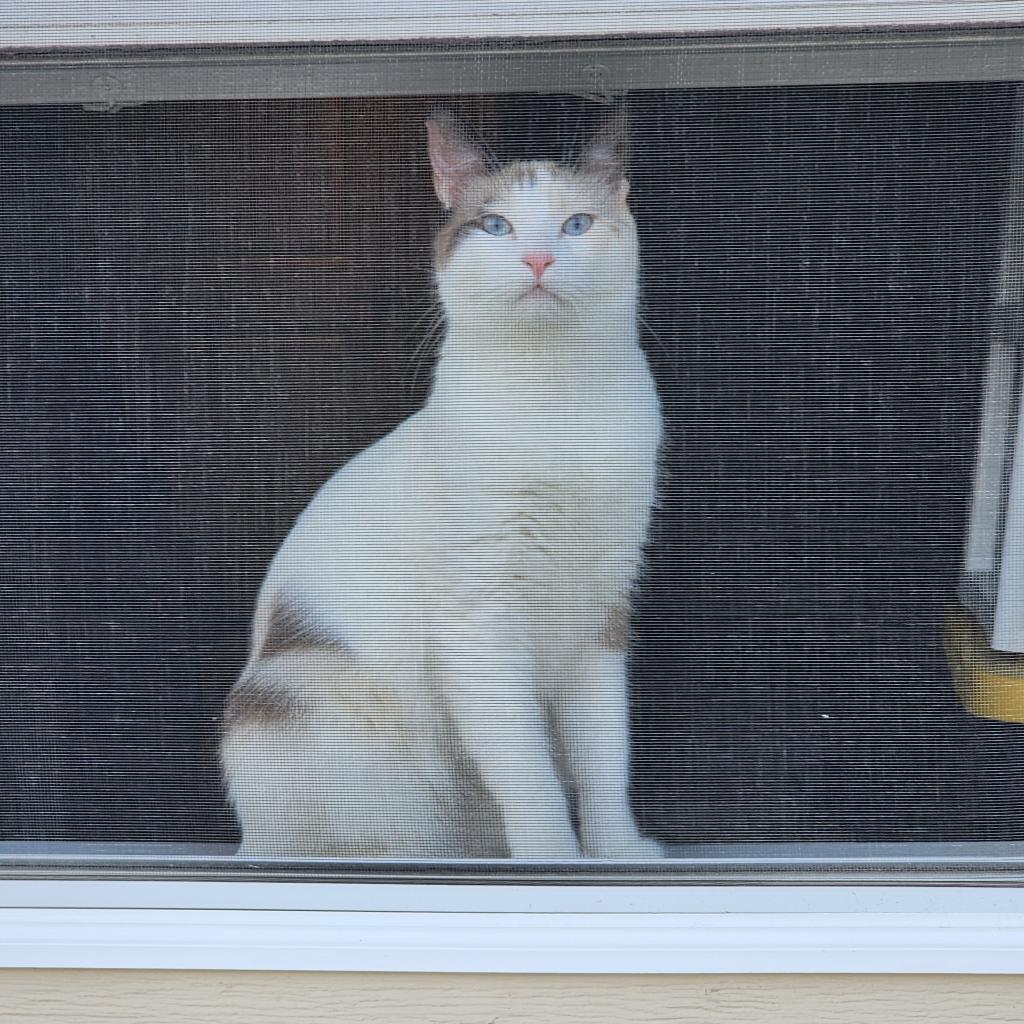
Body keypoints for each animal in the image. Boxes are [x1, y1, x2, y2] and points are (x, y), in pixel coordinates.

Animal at [222, 112, 663, 856]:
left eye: (575, 224)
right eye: (496, 226)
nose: (538, 259)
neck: (556, 398)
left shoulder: (601, 613)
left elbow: (605, 758)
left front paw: (616, 857)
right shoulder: (478, 626)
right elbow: (532, 777)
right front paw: (552, 862)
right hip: (325, 700)